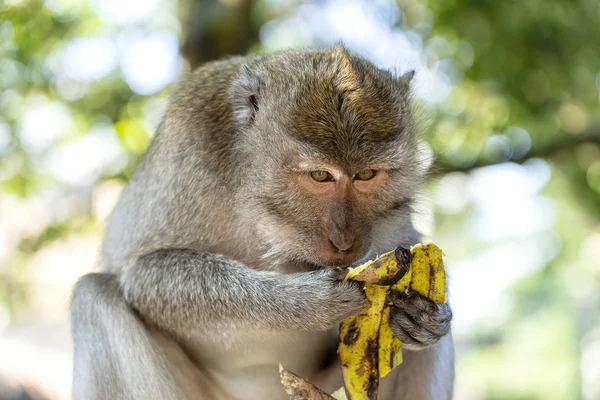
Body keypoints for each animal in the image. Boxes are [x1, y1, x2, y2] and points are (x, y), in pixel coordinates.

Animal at [70, 44, 452, 400]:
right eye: (320, 175)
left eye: (366, 175)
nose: (345, 241)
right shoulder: (188, 142)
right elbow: (144, 273)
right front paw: (302, 302)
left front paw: (427, 318)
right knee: (94, 294)